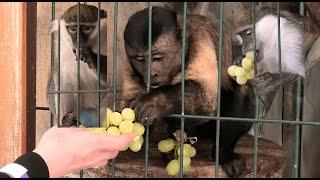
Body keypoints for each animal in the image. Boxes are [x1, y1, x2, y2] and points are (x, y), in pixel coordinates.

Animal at [120, 6, 255, 177]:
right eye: (140, 60)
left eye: (157, 58)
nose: (151, 73)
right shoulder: (128, 63)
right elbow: (128, 103)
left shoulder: (200, 38)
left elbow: (207, 97)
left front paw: (155, 103)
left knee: (240, 86)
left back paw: (224, 153)